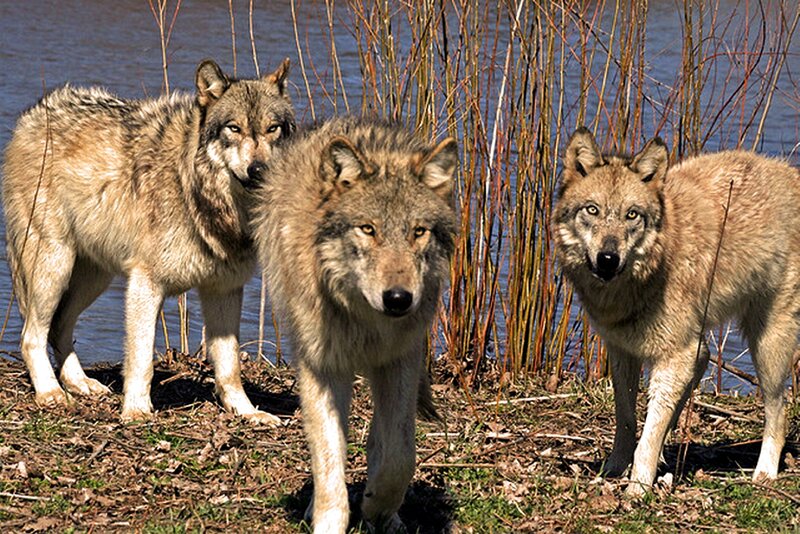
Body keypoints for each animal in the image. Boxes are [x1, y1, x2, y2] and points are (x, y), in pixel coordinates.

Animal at [3, 58, 294, 424]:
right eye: (234, 128)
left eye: (273, 129)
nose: (258, 170)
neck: (200, 192)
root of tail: (31, 116)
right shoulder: (145, 284)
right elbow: (141, 359)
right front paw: (137, 411)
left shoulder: (224, 289)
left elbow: (229, 367)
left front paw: (248, 412)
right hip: (53, 267)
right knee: (31, 335)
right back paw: (50, 393)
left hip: (93, 278)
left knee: (58, 328)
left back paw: (80, 383)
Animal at [253, 117, 458, 533]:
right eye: (368, 229)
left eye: (418, 231)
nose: (398, 298)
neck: (367, 321)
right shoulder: (322, 366)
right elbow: (329, 458)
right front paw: (330, 521)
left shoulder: (400, 360)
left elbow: (399, 454)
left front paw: (378, 506)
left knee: (382, 439)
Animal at [553, 127, 800, 496]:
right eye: (592, 210)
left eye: (631, 214)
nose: (608, 259)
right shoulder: (623, 351)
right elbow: (627, 421)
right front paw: (613, 471)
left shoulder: (674, 355)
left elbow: (647, 438)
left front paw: (637, 489)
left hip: (766, 347)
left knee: (777, 410)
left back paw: (764, 473)